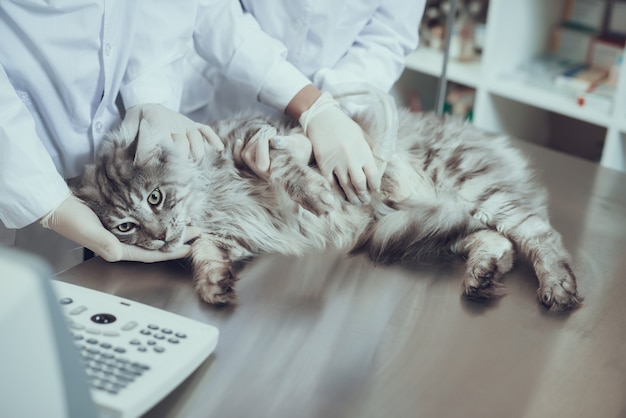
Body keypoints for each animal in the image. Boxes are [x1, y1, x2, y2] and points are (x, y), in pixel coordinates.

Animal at [69, 109, 580, 312]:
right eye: (125, 226)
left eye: (154, 197)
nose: (158, 236)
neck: (209, 205)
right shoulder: (225, 240)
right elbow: (204, 257)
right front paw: (214, 287)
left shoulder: (256, 139)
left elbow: (289, 167)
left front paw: (320, 197)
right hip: (443, 221)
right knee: (496, 242)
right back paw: (481, 277)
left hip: (474, 188)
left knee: (539, 235)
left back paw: (558, 288)